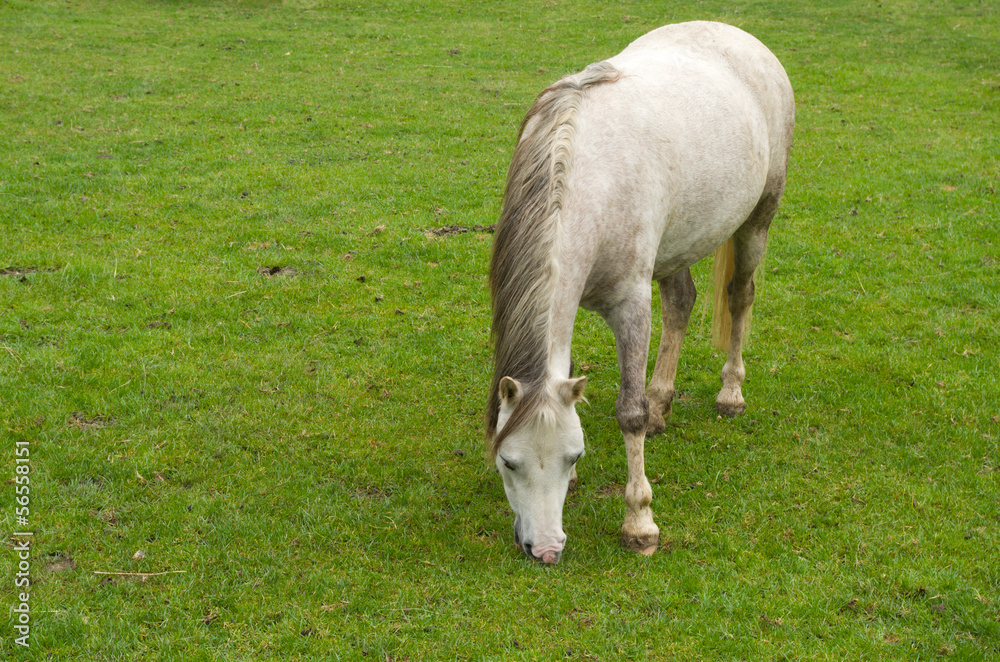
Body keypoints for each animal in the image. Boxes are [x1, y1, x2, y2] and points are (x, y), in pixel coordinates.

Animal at [485, 21, 794, 564]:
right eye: (508, 462)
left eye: (573, 455)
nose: (546, 550)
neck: (582, 177)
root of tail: (741, 36)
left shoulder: (630, 303)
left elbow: (628, 413)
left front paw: (640, 523)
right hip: (677, 244)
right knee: (681, 302)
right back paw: (661, 403)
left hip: (758, 218)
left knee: (740, 296)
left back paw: (730, 392)